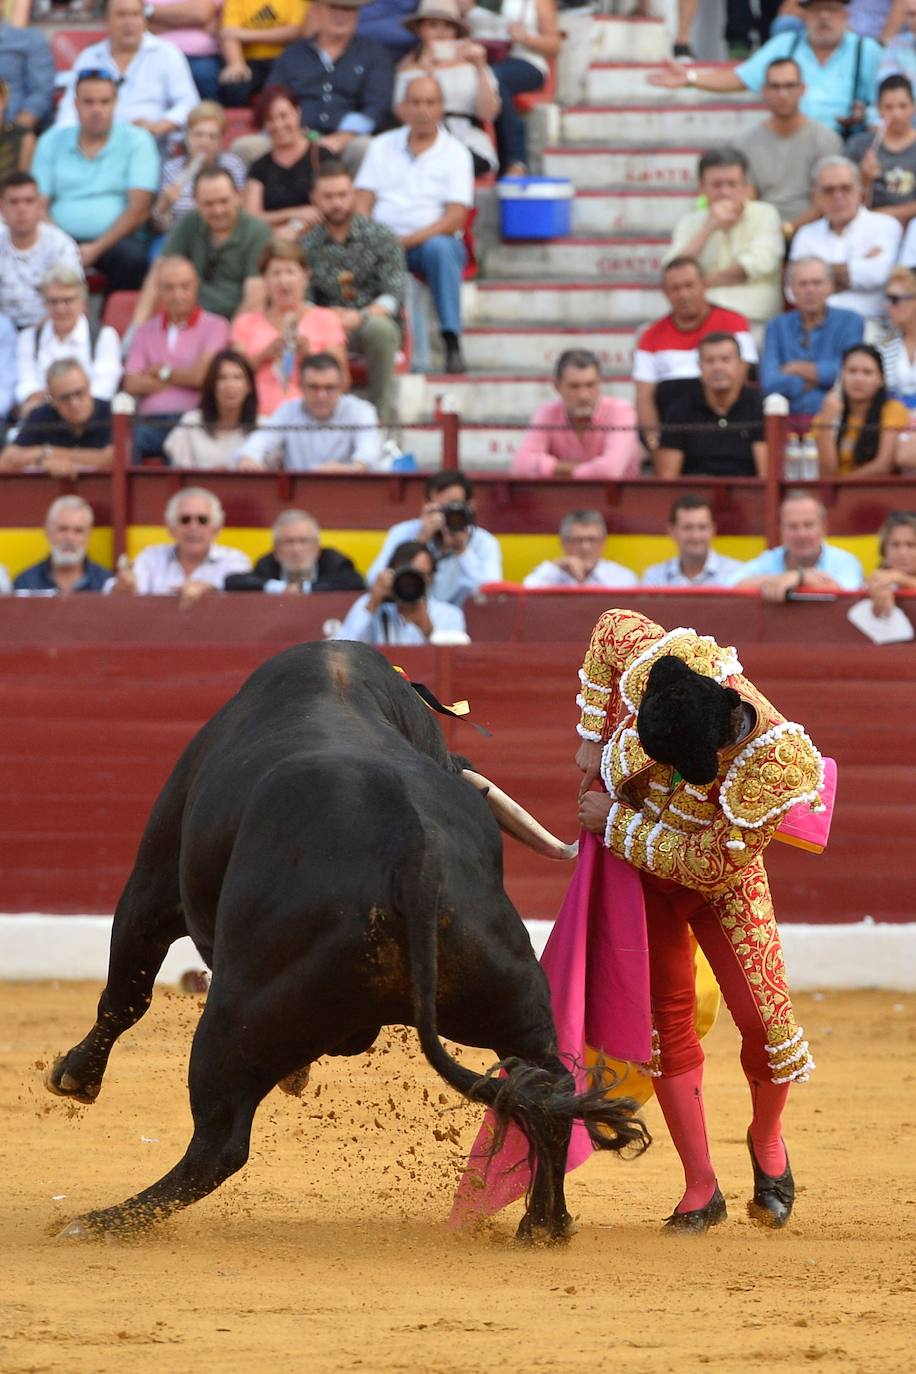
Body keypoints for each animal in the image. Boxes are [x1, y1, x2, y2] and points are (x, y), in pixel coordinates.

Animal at [46, 643, 648, 1247]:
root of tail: (414, 857)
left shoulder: (152, 888)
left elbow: (126, 992)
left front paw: (73, 1076)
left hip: (234, 1015)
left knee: (220, 1142)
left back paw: (102, 1221)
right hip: (513, 999)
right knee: (549, 1091)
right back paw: (545, 1223)